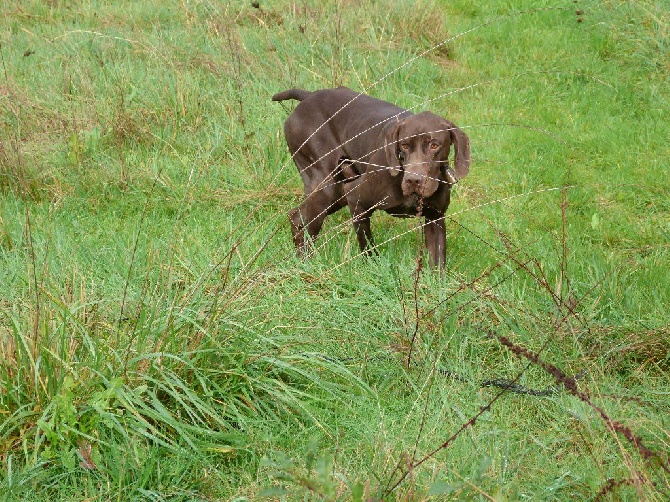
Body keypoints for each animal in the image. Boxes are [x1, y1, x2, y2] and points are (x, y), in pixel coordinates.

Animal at [270, 85, 470, 270]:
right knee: (305, 223)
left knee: (297, 216)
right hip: (328, 187)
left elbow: (438, 267)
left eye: (434, 145)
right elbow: (368, 247)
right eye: (404, 145)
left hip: (337, 192)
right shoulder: (356, 199)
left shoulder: (435, 218)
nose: (413, 180)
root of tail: (309, 95)